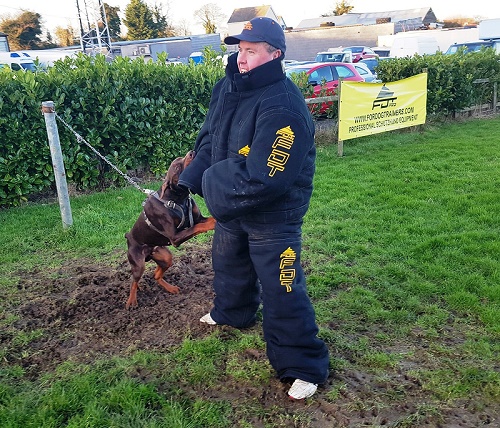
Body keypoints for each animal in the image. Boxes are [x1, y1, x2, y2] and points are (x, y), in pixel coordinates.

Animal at [125, 150, 215, 308]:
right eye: (177, 168)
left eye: (181, 158)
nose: (191, 152)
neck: (179, 199)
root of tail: (128, 237)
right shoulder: (175, 237)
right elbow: (198, 226)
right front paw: (215, 223)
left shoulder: (198, 218)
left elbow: (203, 221)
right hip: (138, 263)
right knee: (133, 280)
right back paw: (131, 301)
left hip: (165, 256)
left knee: (156, 275)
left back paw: (171, 288)